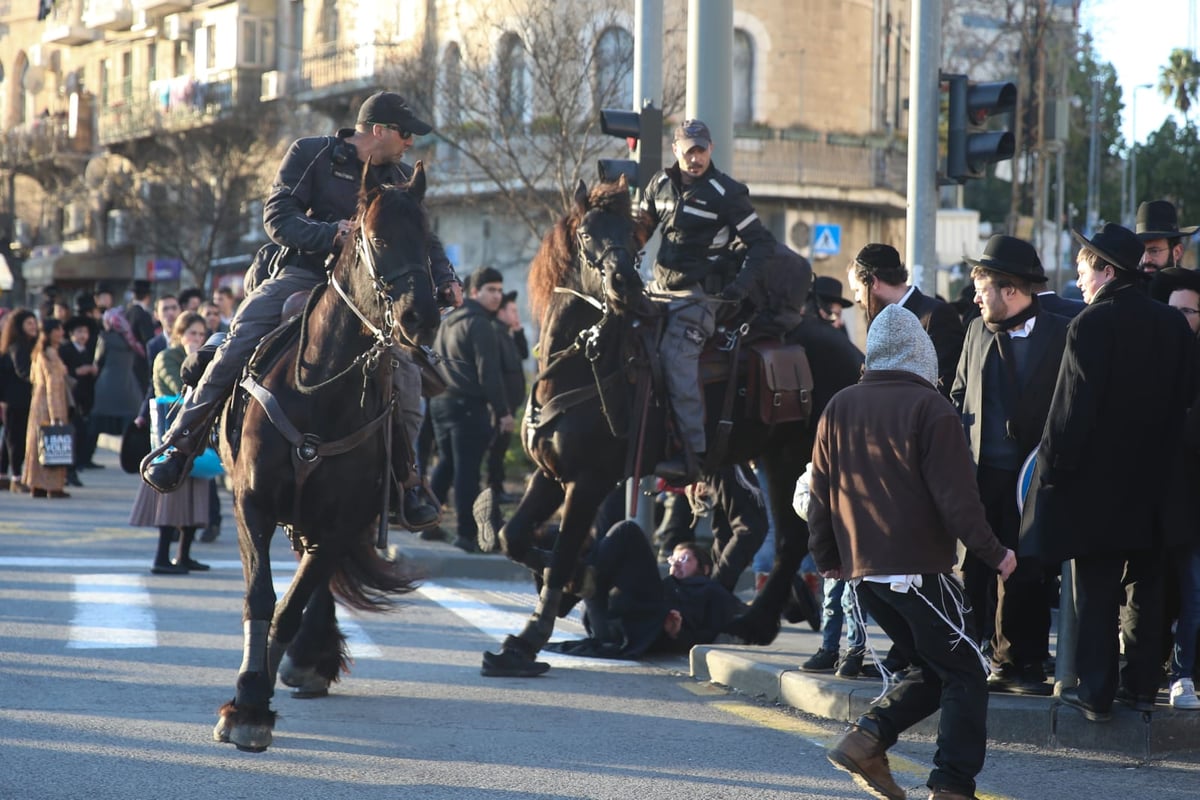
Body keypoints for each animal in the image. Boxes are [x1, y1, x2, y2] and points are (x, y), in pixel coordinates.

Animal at [211, 160, 441, 753]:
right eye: (377, 239)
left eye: (430, 240)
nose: (423, 317)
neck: (320, 389)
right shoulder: (251, 504)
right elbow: (261, 597)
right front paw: (247, 702)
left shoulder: (341, 521)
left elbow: (290, 605)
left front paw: (254, 699)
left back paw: (310, 658)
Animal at [477, 178, 854, 681]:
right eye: (587, 234)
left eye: (633, 237)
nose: (624, 284)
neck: (580, 363)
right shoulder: (552, 473)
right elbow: (513, 537)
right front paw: (576, 579)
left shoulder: (590, 479)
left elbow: (561, 555)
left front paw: (526, 641)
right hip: (777, 460)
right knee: (791, 538)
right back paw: (755, 622)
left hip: (797, 460)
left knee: (797, 538)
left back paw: (756, 621)